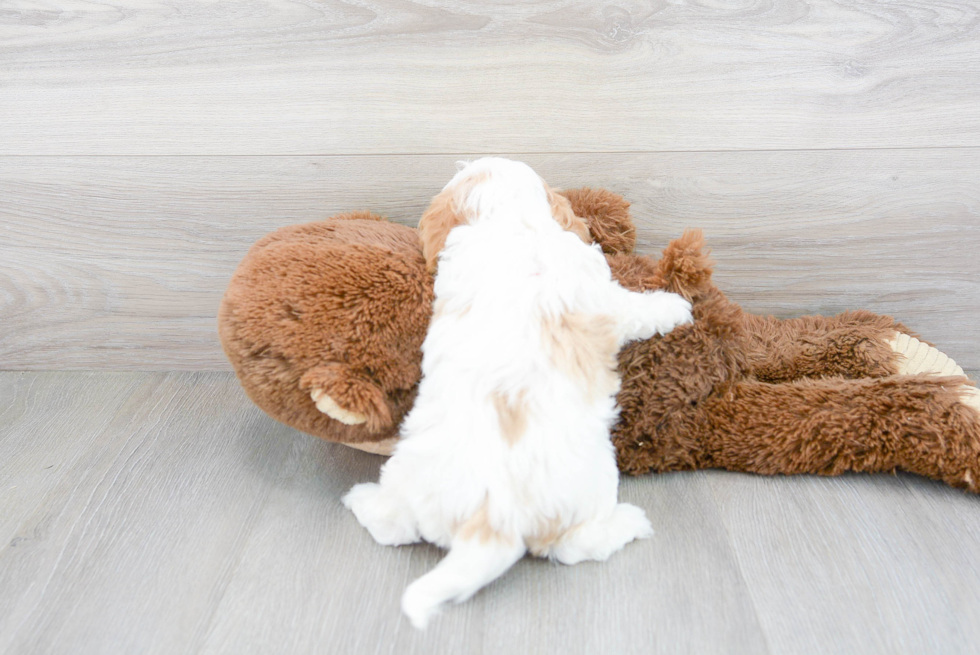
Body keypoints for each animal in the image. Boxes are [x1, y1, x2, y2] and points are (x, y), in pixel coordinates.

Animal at [344, 159, 696, 632]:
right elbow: (638, 309)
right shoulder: (606, 296)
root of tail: (492, 517)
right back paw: (628, 524)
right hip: (590, 486)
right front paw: (675, 306)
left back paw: (362, 501)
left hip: (410, 475)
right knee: (574, 546)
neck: (507, 222)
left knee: (394, 526)